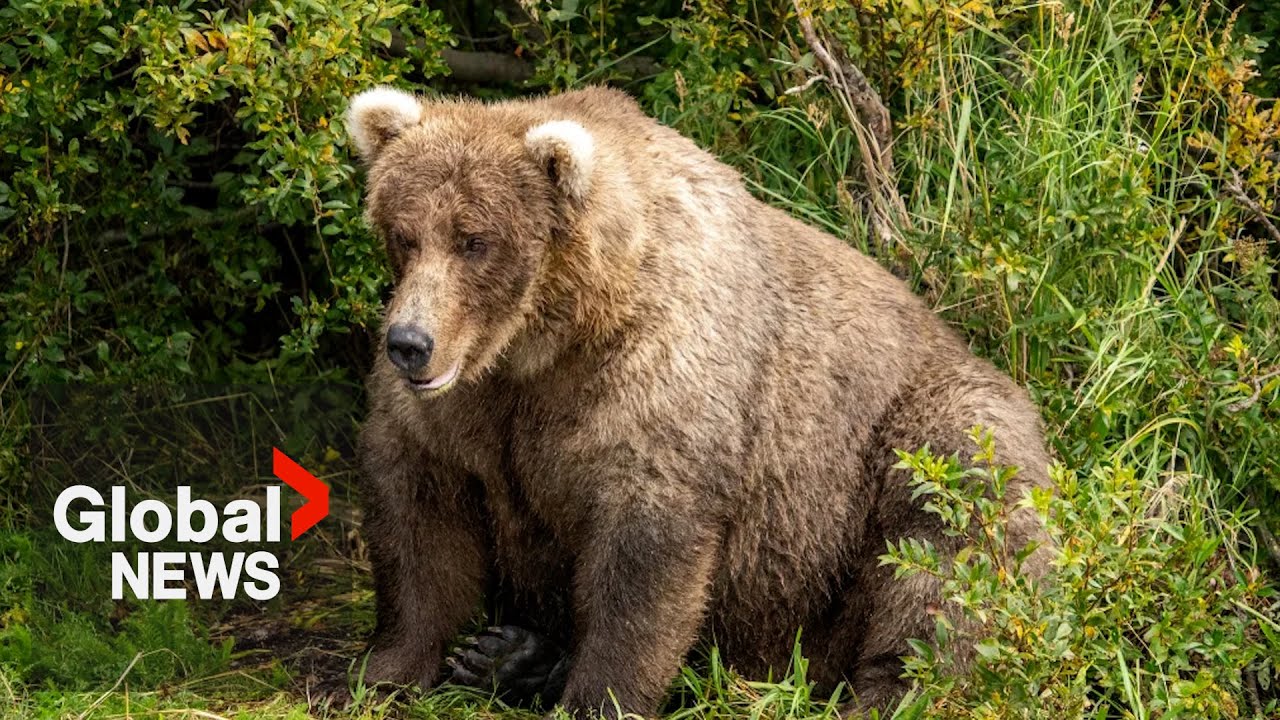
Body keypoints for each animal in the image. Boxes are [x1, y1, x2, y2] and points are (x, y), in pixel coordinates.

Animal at [342, 85, 1053, 717]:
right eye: (405, 233)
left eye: (475, 240)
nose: (410, 343)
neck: (545, 341)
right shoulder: (465, 412)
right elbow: (419, 521)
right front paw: (386, 672)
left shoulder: (656, 382)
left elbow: (645, 554)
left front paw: (599, 699)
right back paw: (511, 655)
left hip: (910, 446)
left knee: (948, 546)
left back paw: (889, 694)